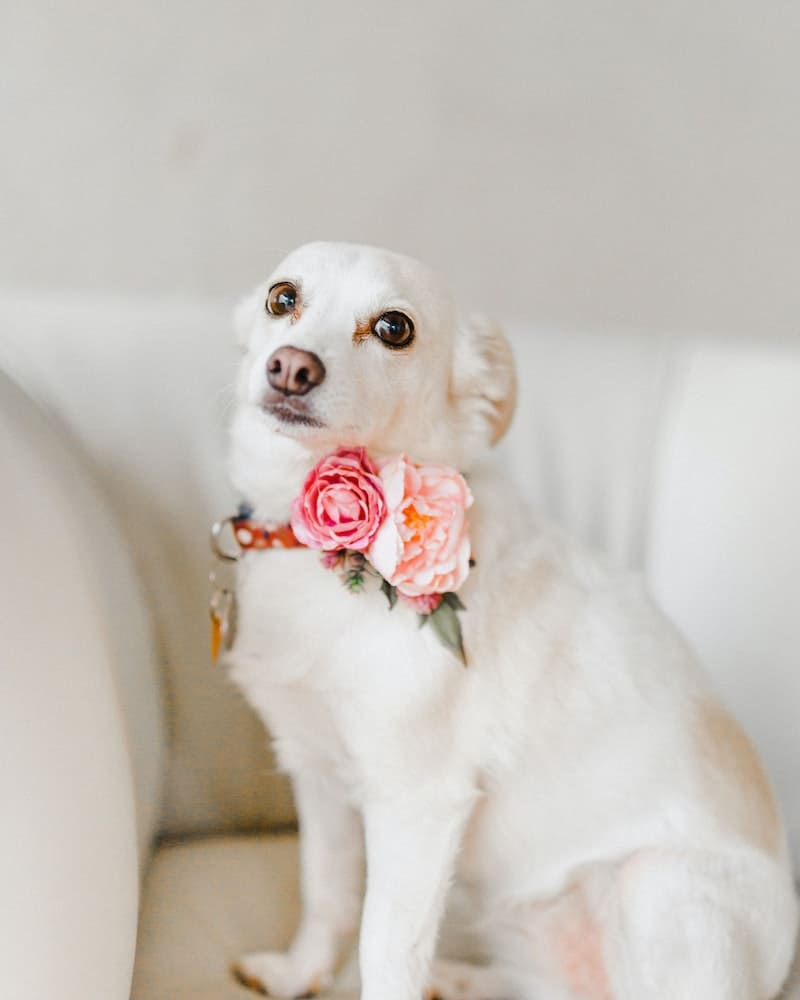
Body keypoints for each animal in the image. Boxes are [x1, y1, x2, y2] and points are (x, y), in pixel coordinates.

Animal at [223, 244, 792, 1000]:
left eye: (394, 328)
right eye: (281, 298)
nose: (290, 365)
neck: (312, 551)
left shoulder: (417, 803)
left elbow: (385, 948)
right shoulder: (316, 771)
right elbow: (326, 893)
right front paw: (297, 975)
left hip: (656, 885)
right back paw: (455, 981)